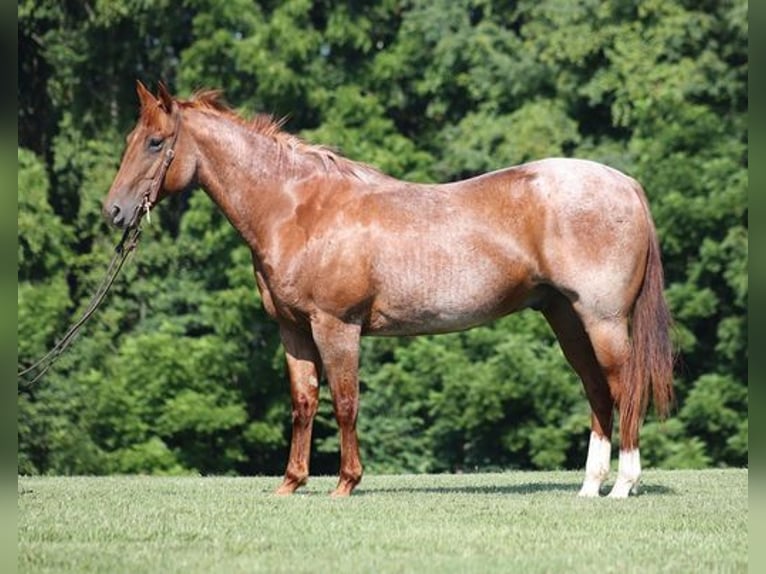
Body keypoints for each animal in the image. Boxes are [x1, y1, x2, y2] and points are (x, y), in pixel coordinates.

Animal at [105, 81, 676, 500]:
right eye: (131, 139)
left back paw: (623, 486)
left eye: (155, 142)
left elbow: (345, 402)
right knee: (597, 392)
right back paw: (589, 488)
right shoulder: (292, 330)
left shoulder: (337, 326)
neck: (298, 210)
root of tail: (626, 183)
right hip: (566, 319)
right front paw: (291, 483)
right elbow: (304, 402)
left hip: (602, 321)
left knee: (623, 389)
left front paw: (345, 484)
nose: (113, 211)